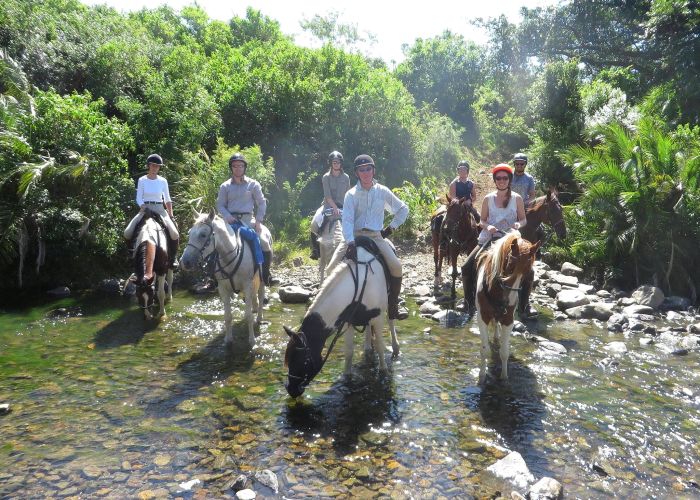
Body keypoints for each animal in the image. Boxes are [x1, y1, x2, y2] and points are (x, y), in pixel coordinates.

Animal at [179, 209, 272, 346]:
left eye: (203, 235)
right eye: (189, 233)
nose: (185, 262)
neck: (231, 256)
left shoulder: (247, 286)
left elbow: (249, 315)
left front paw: (252, 340)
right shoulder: (223, 289)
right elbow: (228, 316)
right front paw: (228, 340)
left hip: (261, 280)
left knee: (260, 297)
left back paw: (259, 318)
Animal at [476, 232, 540, 384]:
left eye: (528, 272)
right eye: (510, 265)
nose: (507, 301)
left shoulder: (508, 320)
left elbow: (504, 352)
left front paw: (504, 378)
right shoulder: (482, 317)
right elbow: (484, 350)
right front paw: (481, 377)